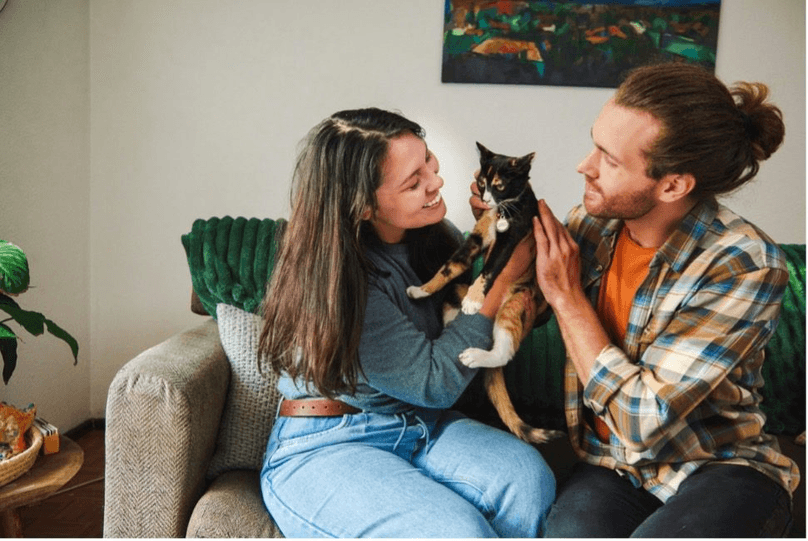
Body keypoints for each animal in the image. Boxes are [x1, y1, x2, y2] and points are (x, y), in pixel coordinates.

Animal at [410, 142, 560, 442]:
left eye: (500, 185)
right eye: (481, 183)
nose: (487, 199)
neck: (499, 213)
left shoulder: (512, 238)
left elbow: (488, 270)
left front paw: (474, 299)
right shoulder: (476, 239)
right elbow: (450, 267)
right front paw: (421, 290)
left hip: (517, 302)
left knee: (504, 350)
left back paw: (475, 352)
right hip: (455, 292)